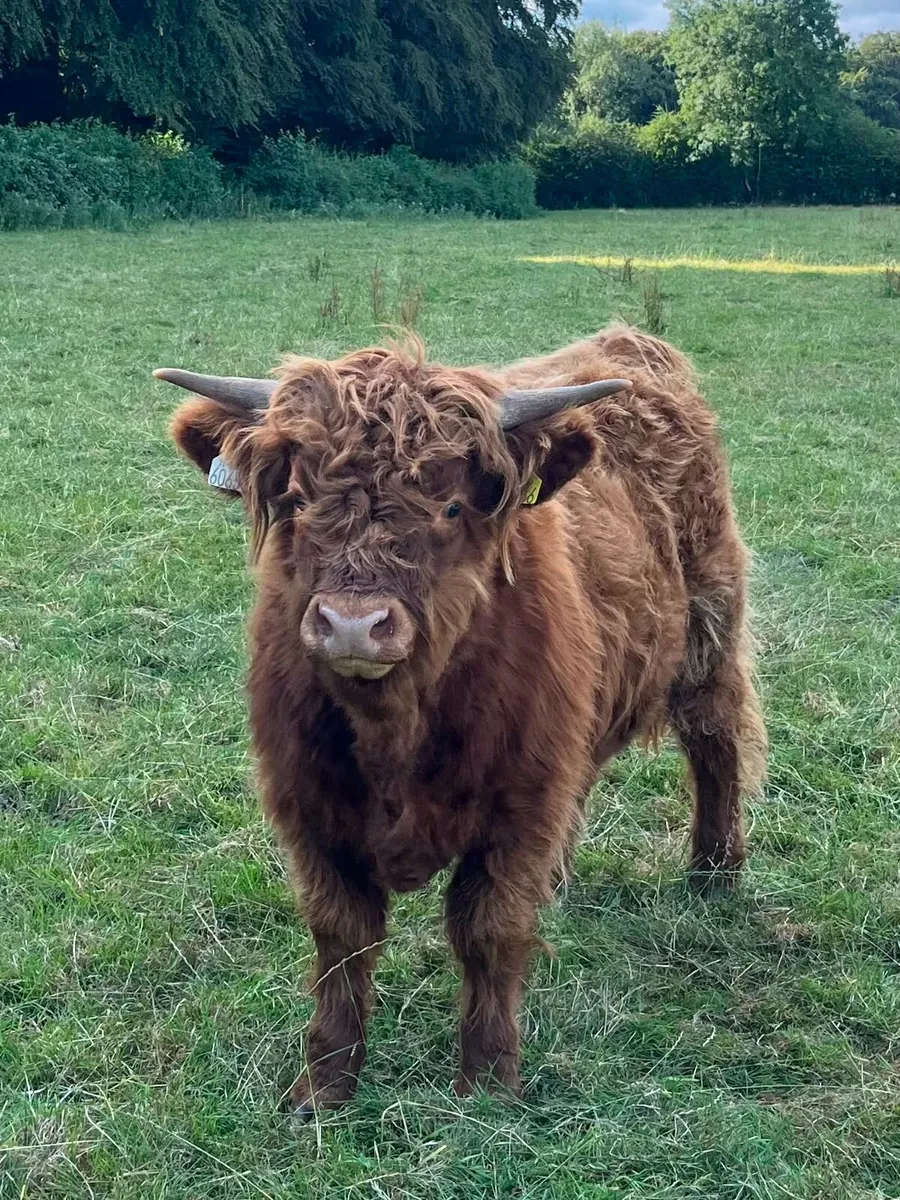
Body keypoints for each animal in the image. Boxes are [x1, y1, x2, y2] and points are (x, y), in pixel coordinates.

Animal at [156, 324, 766, 1113]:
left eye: (449, 508)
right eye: (294, 500)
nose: (352, 626)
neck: (395, 734)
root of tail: (631, 341)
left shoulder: (517, 804)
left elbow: (488, 931)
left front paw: (488, 1082)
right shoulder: (310, 807)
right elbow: (340, 937)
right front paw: (323, 1085)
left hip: (708, 628)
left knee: (717, 741)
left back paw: (715, 873)